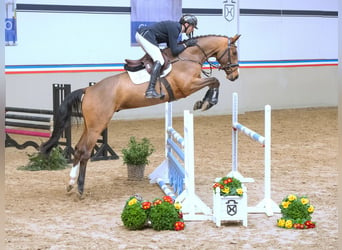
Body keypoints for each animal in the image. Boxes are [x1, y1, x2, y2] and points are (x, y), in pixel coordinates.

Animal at [40, 33, 240, 197]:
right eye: (235, 52)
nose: (235, 76)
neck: (189, 56)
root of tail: (88, 90)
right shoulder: (187, 86)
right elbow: (214, 80)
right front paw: (207, 102)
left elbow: (214, 81)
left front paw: (205, 101)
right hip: (98, 125)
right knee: (85, 152)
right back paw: (80, 188)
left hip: (90, 126)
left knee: (78, 149)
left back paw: (71, 184)